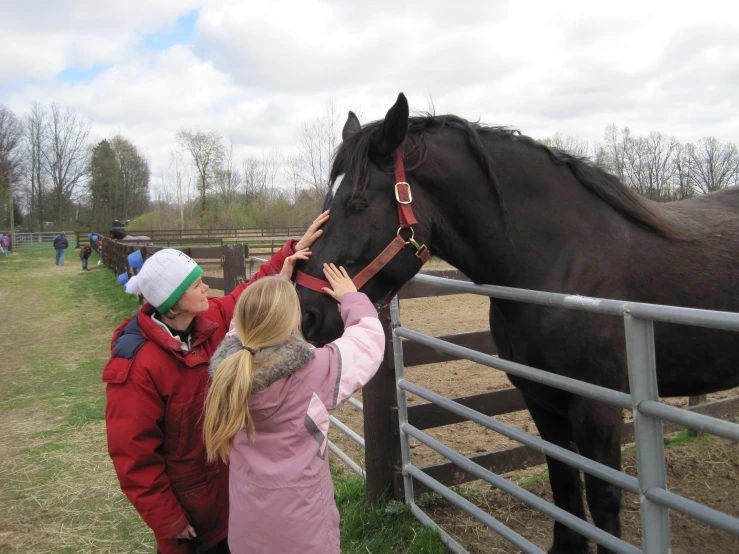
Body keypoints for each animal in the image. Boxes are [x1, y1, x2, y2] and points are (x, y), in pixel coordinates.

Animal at [298, 92, 739, 548]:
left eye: (358, 204)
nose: (306, 312)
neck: (564, 263)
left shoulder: (598, 406)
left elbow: (602, 497)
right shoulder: (540, 398)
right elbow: (563, 484)